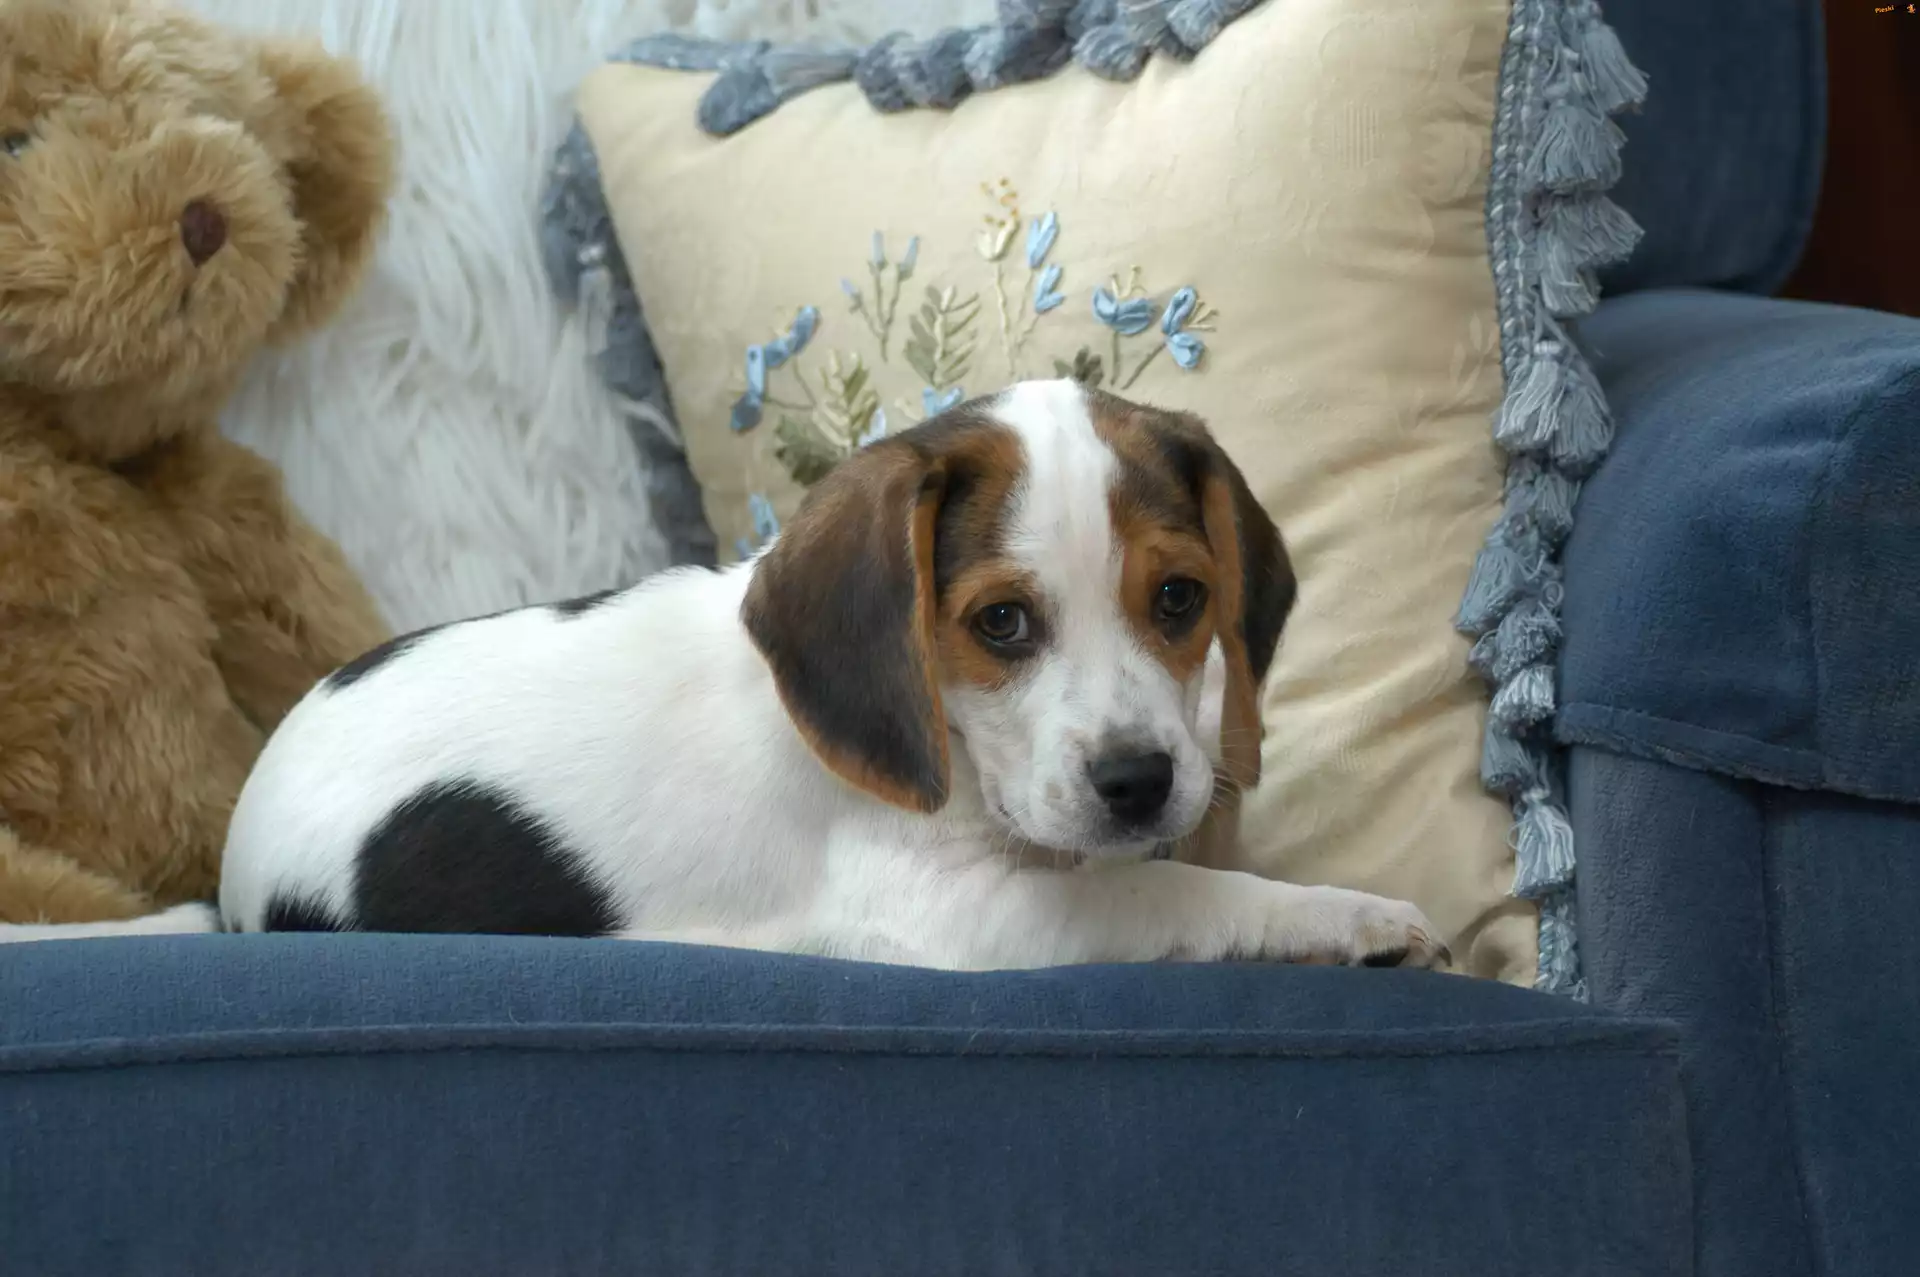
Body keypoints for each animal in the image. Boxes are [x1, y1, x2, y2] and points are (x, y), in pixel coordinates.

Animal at [2, 380, 1446, 969]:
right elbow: (1177, 895)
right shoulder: (958, 919)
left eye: (1181, 599)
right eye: (1000, 624)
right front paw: (1350, 915)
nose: (1143, 781)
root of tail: (235, 884)